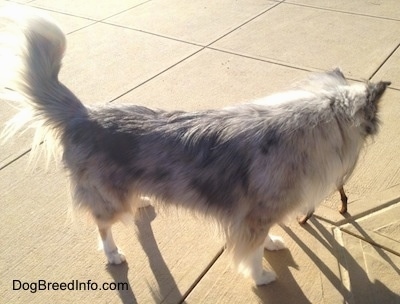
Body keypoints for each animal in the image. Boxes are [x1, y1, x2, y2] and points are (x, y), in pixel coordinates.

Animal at [0, 11, 388, 284]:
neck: (316, 120)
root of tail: (84, 114)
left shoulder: (256, 216)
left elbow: (263, 240)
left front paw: (273, 243)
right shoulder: (253, 217)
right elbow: (251, 253)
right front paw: (262, 276)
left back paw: (142, 200)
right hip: (107, 198)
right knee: (103, 225)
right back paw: (112, 254)